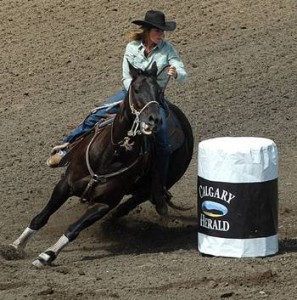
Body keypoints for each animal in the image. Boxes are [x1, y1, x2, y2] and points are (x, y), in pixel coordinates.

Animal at [9, 61, 192, 268]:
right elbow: (41, 217)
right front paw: (16, 246)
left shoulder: (104, 203)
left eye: (159, 91)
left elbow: (73, 229)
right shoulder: (65, 185)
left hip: (150, 188)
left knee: (127, 206)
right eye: (136, 89)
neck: (110, 154)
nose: (154, 119)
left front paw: (47, 255)